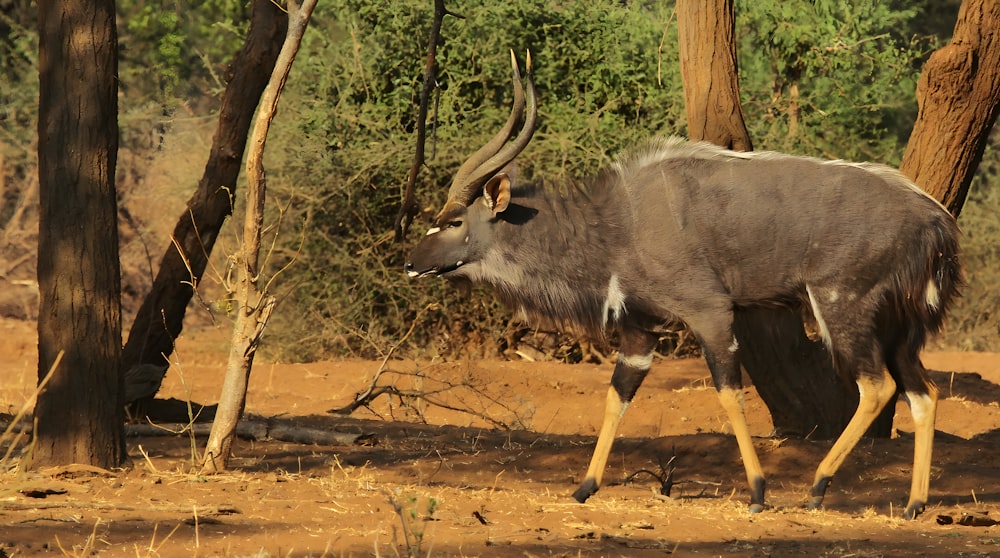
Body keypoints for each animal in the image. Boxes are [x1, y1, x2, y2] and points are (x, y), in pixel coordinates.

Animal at [404, 52, 960, 520]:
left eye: (453, 221)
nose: (410, 263)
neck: (616, 224)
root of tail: (935, 221)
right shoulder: (640, 328)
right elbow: (617, 395)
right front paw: (584, 487)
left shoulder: (709, 311)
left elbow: (729, 392)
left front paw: (757, 492)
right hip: (898, 326)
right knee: (924, 392)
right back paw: (914, 504)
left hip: (842, 305)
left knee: (878, 386)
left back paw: (819, 487)